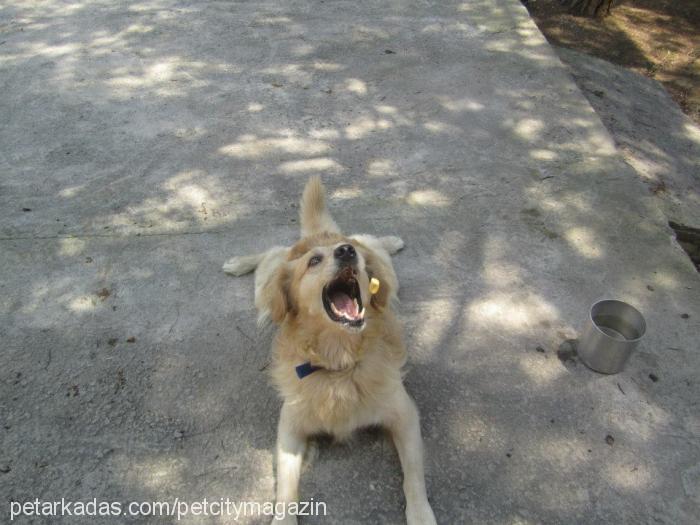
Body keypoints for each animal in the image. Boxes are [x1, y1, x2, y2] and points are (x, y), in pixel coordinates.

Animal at [221, 177, 434, 524]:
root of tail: (320, 235)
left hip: (386, 271)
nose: (346, 252)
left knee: (369, 240)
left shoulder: (405, 414)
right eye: (313, 262)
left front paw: (421, 514)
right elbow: (286, 490)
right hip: (264, 291)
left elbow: (414, 478)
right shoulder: (289, 426)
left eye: (348, 256)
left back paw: (389, 240)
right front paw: (283, 519)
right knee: (270, 253)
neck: (340, 364)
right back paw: (239, 263)